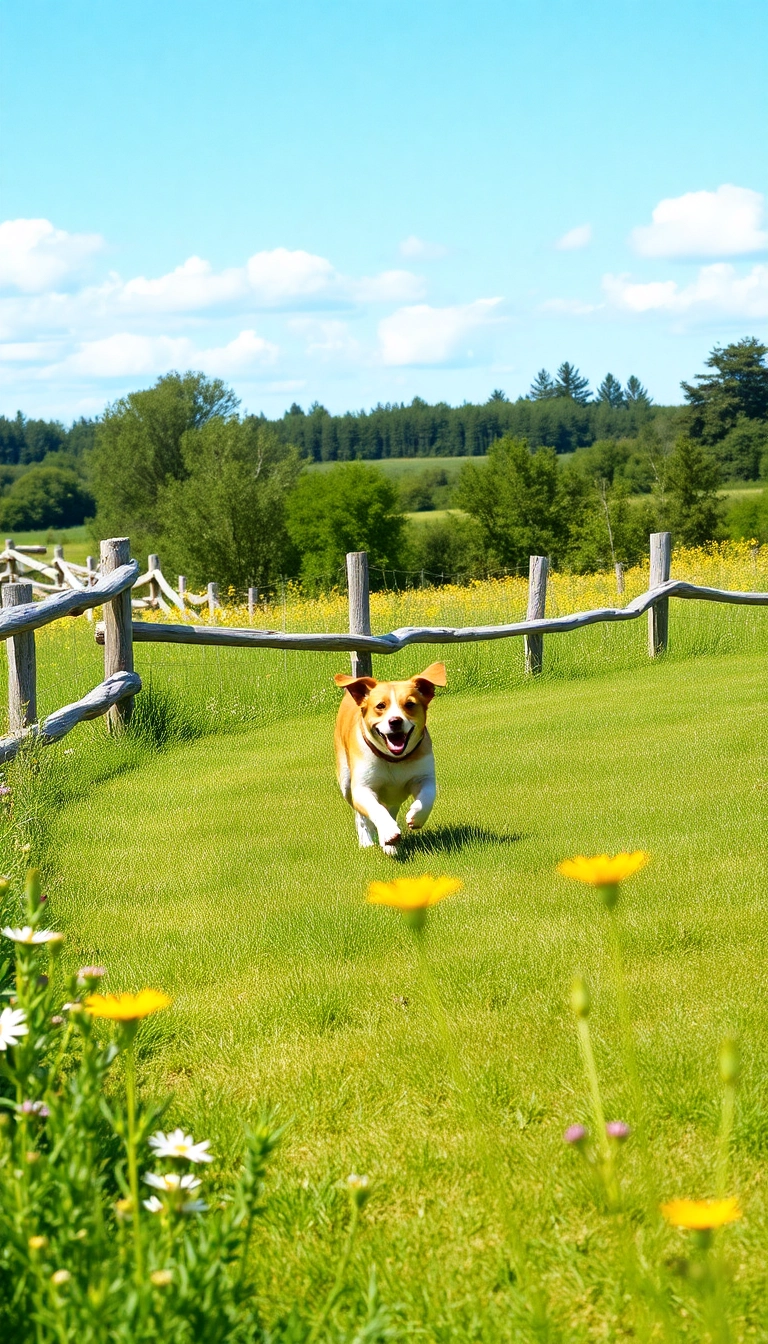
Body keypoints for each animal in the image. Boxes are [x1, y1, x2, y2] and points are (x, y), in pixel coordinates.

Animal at [334, 663, 446, 860]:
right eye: (380, 705)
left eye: (409, 704)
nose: (395, 721)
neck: (394, 760)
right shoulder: (363, 787)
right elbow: (375, 809)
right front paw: (388, 832)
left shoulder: (423, 775)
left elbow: (428, 794)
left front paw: (416, 816)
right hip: (346, 781)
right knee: (362, 816)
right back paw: (368, 841)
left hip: (394, 797)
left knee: (390, 809)